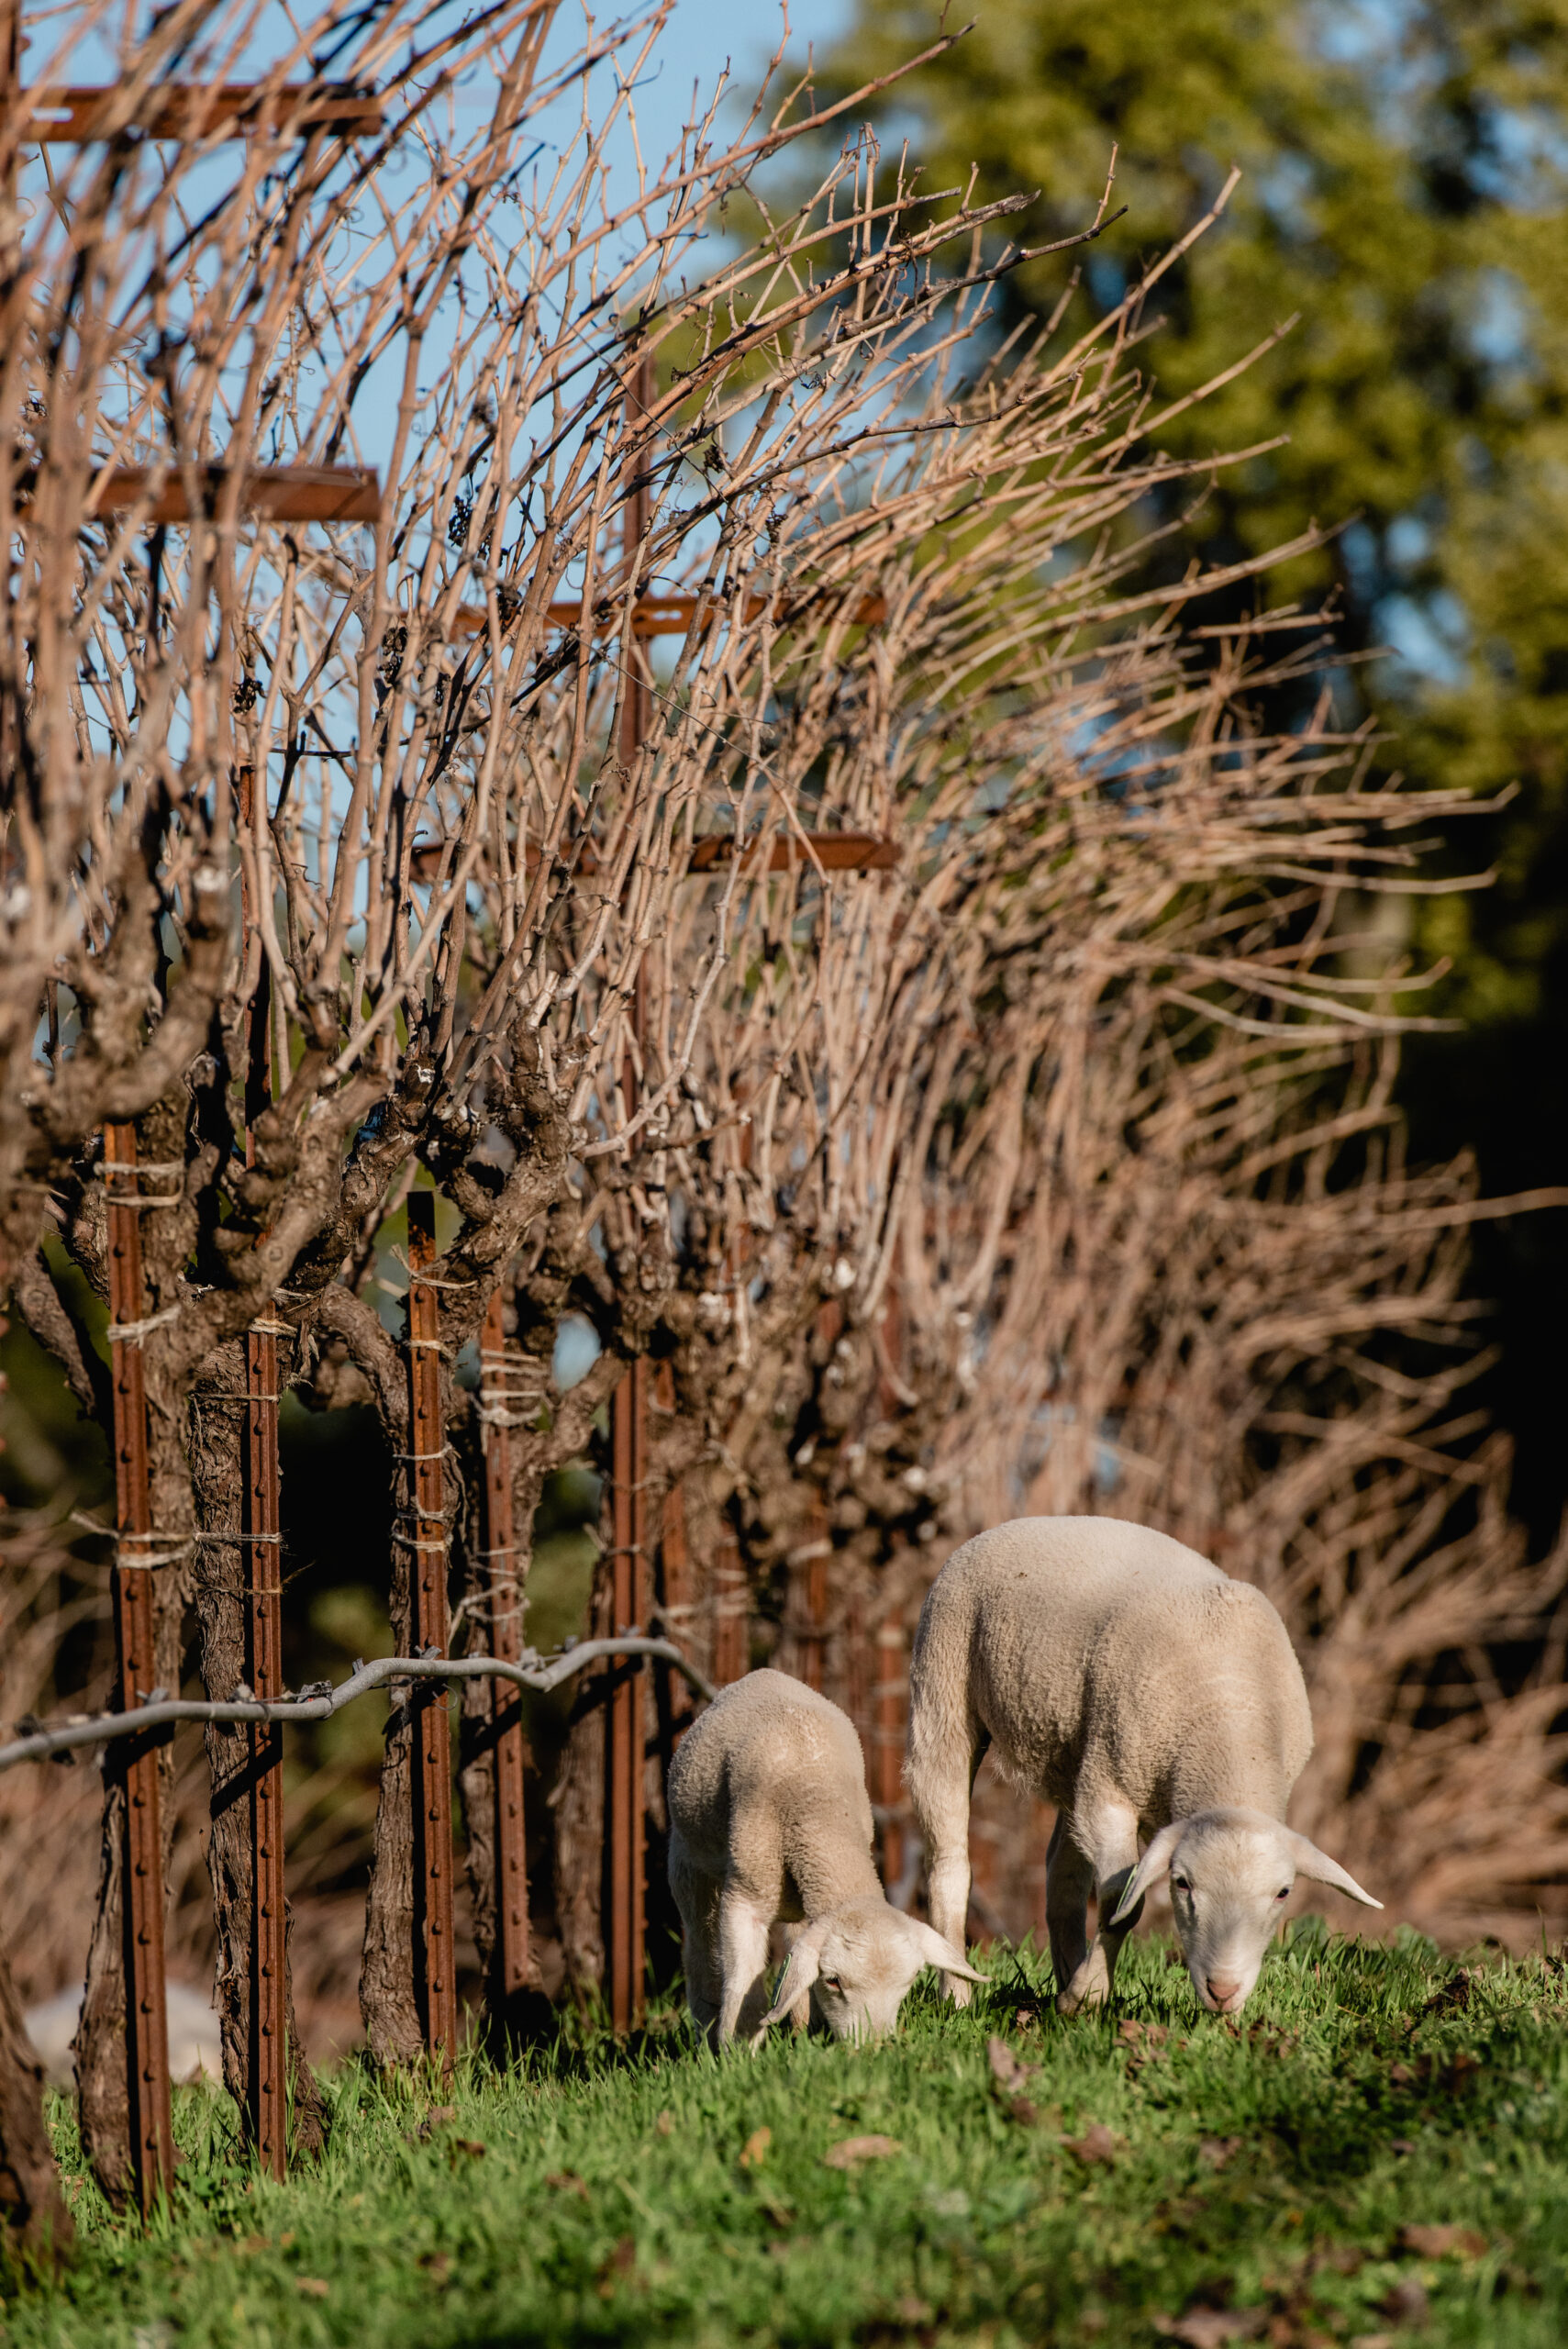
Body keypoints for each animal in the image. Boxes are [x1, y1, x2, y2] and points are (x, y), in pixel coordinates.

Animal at [666, 1672, 981, 2039]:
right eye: (833, 1981)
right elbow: (745, 1995)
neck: (819, 1800)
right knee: (699, 1948)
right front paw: (737, 2048)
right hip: (688, 1862)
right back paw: (706, 2032)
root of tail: (761, 1675)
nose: (873, 2046)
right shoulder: (745, 1896)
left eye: (910, 1981)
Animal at [901, 1521, 1380, 2020]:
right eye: (1182, 1883)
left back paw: (1066, 1975)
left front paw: (1077, 1996)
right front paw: (1088, 1995)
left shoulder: (1102, 1777)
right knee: (949, 1867)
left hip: (1075, 1754)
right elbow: (1120, 1902)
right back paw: (957, 1996)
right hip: (942, 1692)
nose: (1223, 1991)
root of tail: (1016, 1525)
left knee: (1061, 1876)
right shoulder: (1109, 1790)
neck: (1229, 1714)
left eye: (1283, 1892)